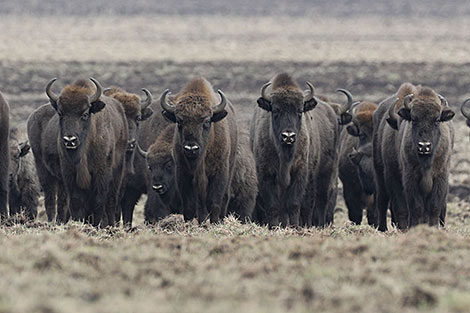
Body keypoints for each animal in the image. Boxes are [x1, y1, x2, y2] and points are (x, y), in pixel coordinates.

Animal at [29, 77, 129, 224]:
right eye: (60, 113)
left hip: (117, 171)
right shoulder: (69, 173)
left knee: (111, 200)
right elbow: (76, 201)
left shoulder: (101, 172)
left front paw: (97, 224)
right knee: (51, 199)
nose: (69, 140)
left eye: (85, 114)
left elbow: (98, 201)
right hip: (43, 169)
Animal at [159, 77, 239, 223]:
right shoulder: (183, 174)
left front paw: (214, 223)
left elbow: (214, 202)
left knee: (224, 198)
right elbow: (190, 205)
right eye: (179, 121)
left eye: (206, 122)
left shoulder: (219, 172)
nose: (191, 148)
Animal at [252, 72, 340, 227]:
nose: (288, 136)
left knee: (320, 201)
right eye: (275, 110)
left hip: (325, 173)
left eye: (299, 111)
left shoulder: (300, 172)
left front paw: (294, 226)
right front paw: (274, 226)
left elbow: (293, 203)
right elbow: (273, 205)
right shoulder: (266, 174)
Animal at [372, 81, 454, 230]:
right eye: (414, 119)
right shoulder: (407, 177)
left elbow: (434, 206)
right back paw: (384, 228)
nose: (424, 146)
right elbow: (413, 207)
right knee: (383, 200)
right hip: (380, 172)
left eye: (437, 120)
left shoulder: (441, 176)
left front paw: (432, 227)